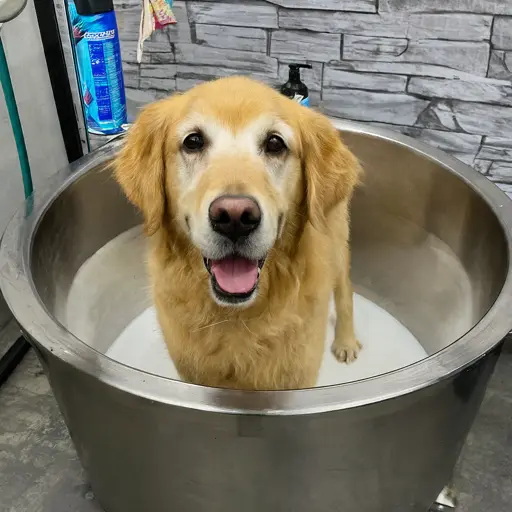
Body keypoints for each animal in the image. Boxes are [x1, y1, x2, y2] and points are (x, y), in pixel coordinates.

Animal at [116, 76, 362, 390]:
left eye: (274, 143)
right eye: (193, 141)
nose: (234, 217)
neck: (234, 316)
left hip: (338, 243)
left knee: (345, 292)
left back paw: (346, 341)